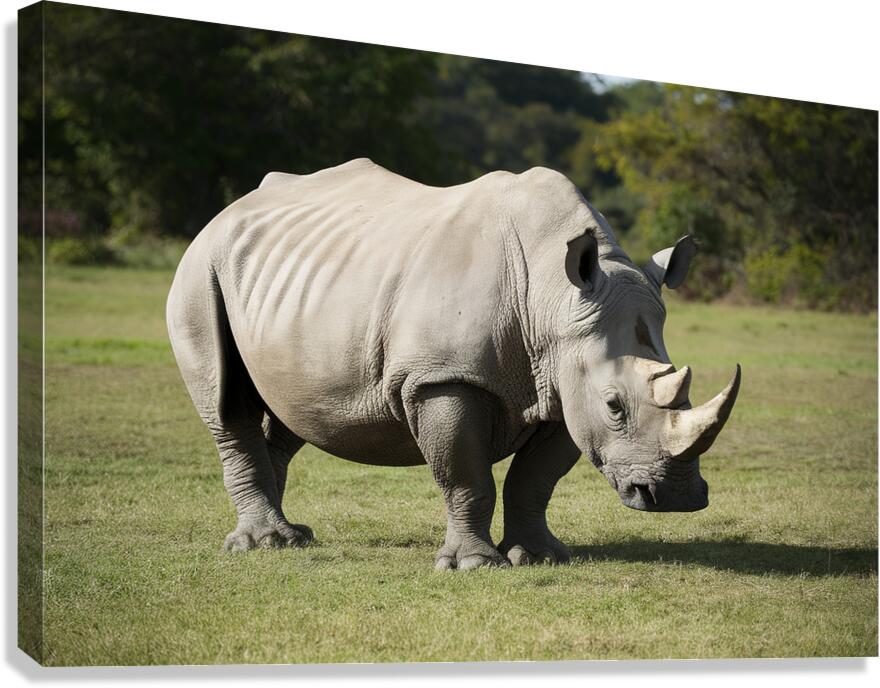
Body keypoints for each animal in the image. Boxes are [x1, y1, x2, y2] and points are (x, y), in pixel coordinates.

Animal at [167, 158, 740, 570]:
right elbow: (466, 475)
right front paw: (474, 566)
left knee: (292, 407)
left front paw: (540, 557)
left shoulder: (562, 382)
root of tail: (228, 212)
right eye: (615, 406)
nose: (675, 497)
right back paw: (264, 544)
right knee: (227, 405)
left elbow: (536, 478)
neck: (554, 302)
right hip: (199, 271)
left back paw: (291, 538)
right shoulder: (442, 378)